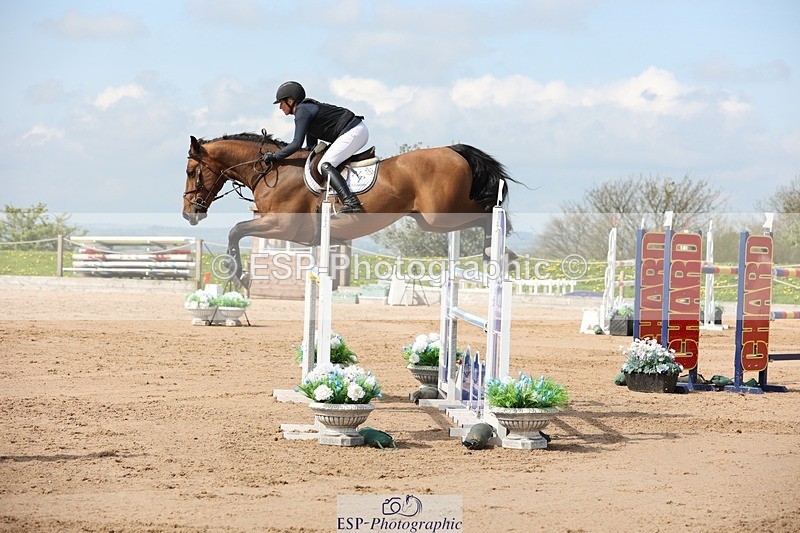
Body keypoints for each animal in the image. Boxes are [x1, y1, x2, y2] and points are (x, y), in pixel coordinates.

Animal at [182, 131, 517, 286]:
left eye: (190, 171)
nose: (189, 214)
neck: (272, 171)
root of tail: (453, 150)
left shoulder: (281, 225)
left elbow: (235, 231)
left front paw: (239, 276)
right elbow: (237, 231)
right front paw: (239, 275)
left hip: (439, 217)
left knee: (487, 211)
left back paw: (500, 251)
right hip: (431, 219)